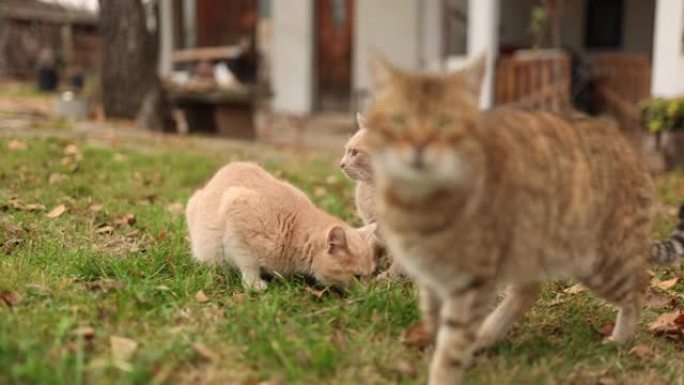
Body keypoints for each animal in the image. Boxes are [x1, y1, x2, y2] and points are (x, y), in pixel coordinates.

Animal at [186, 160, 380, 290]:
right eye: (357, 277)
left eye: (370, 275)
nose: (368, 293)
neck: (294, 229)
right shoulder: (236, 211)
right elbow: (248, 262)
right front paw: (254, 284)